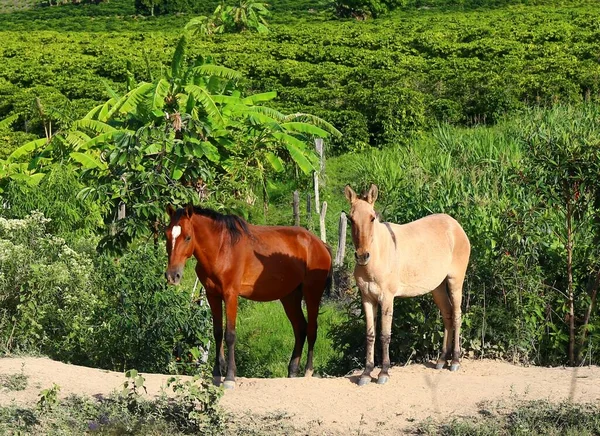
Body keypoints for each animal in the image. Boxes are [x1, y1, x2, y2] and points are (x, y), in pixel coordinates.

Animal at [164, 204, 332, 388]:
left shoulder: (231, 295)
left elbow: (230, 335)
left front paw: (229, 377)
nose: (172, 276)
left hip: (312, 293)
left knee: (311, 329)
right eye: (167, 235)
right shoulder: (212, 295)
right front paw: (216, 374)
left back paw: (308, 371)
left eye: (187, 237)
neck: (221, 249)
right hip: (290, 297)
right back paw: (292, 371)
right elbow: (217, 333)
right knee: (300, 328)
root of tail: (320, 244)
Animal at [344, 184, 472, 384]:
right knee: (448, 315)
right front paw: (366, 373)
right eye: (350, 219)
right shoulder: (367, 298)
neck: (377, 256)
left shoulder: (387, 298)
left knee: (457, 315)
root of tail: (455, 225)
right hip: (437, 288)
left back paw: (455, 361)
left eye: (372, 218)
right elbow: (370, 335)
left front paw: (383, 372)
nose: (362, 256)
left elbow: (385, 335)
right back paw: (442, 360)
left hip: (455, 281)